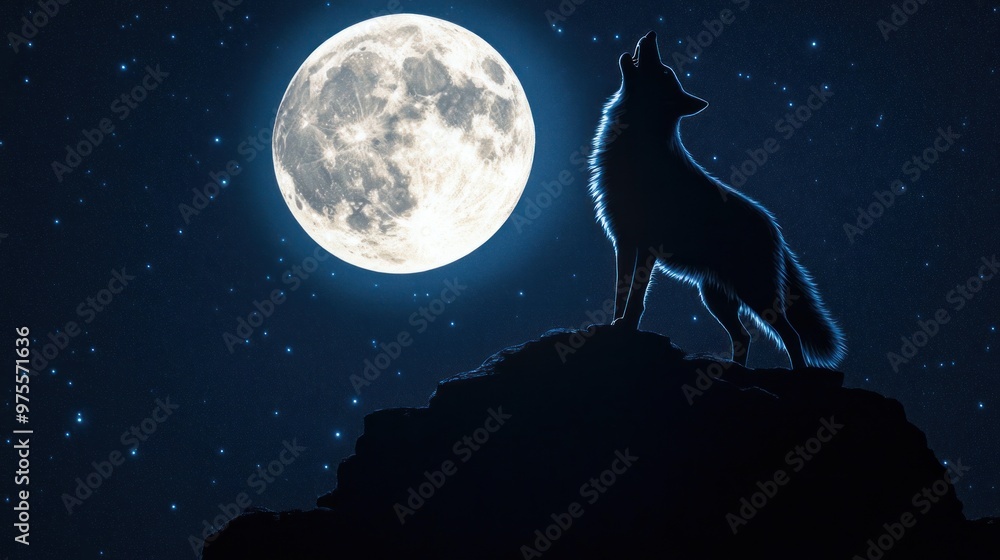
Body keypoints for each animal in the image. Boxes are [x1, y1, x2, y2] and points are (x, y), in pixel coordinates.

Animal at [588, 31, 846, 369]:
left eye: (665, 72)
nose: (651, 34)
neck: (637, 144)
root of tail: (774, 228)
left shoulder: (646, 246)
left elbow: (636, 298)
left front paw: (628, 327)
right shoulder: (624, 242)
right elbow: (621, 293)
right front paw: (614, 326)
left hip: (754, 294)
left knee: (790, 334)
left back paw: (797, 372)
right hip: (715, 298)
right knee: (744, 336)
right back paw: (733, 368)